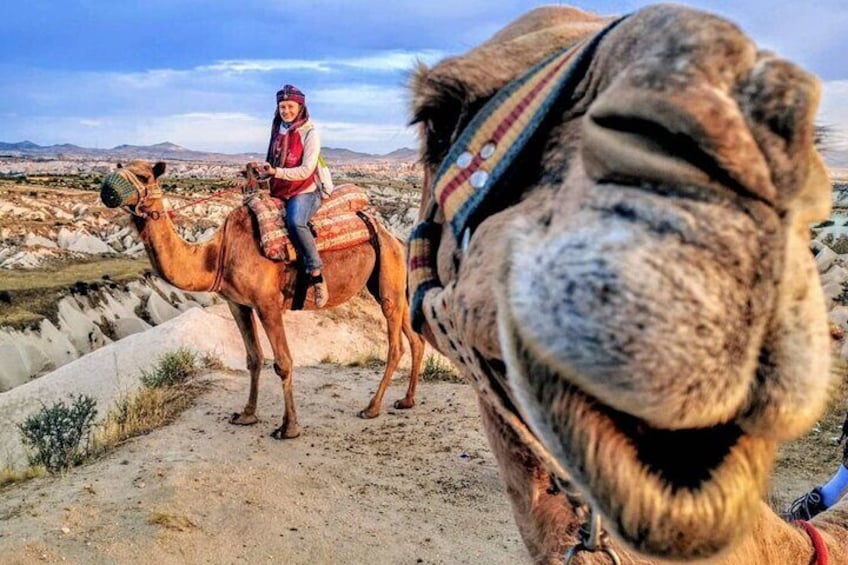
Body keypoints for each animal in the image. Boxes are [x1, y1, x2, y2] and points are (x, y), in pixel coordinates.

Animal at [101, 161, 424, 438]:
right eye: (119, 168)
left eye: (143, 176)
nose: (107, 189)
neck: (217, 254)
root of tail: (396, 238)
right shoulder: (238, 303)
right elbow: (253, 358)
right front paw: (246, 414)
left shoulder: (268, 304)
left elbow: (283, 362)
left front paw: (289, 427)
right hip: (388, 283)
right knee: (415, 338)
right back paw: (406, 400)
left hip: (389, 278)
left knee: (396, 345)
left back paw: (371, 407)